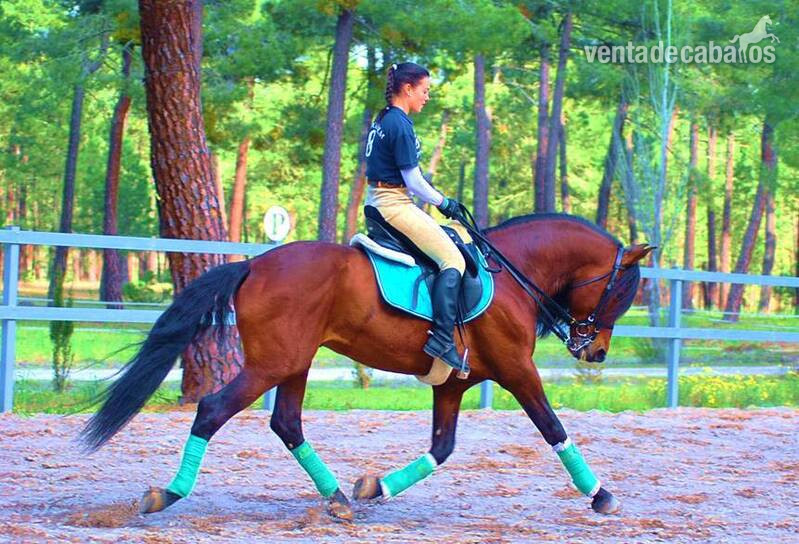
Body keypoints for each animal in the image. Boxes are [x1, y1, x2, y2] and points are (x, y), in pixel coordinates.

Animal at [81, 212, 653, 521]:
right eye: (622, 291)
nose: (597, 353)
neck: (510, 274)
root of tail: (255, 263)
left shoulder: (455, 383)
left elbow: (441, 449)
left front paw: (375, 487)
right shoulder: (518, 372)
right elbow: (554, 429)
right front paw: (601, 495)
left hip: (294, 364)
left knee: (286, 423)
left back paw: (337, 498)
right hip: (272, 365)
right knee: (212, 410)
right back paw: (168, 493)